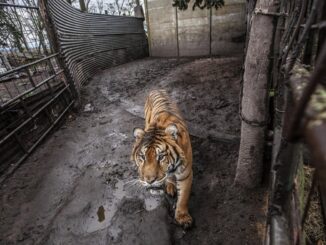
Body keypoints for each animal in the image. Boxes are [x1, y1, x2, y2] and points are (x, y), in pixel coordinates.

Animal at [131, 89, 194, 227]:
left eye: (161, 157)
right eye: (142, 157)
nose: (149, 181)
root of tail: (156, 88)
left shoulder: (186, 173)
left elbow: (184, 197)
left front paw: (183, 217)